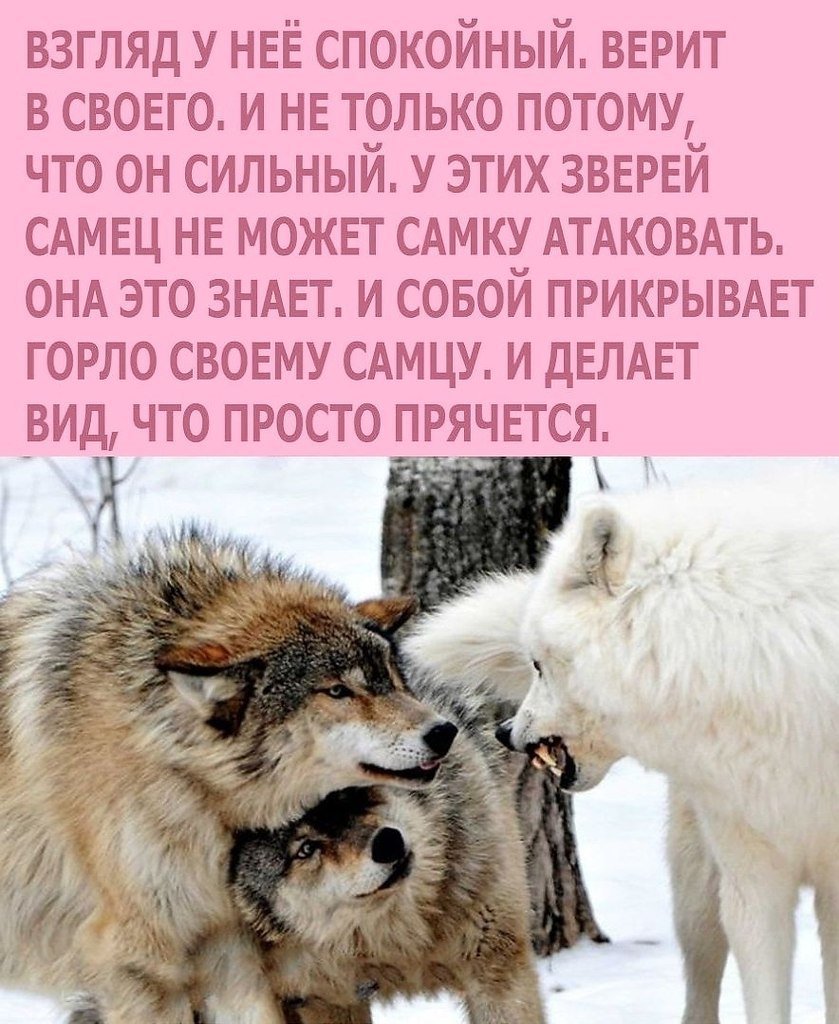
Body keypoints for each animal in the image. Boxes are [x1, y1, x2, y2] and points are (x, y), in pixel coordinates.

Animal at [225, 673, 545, 1024]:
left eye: (355, 796)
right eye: (306, 849)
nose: (388, 843)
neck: (396, 941)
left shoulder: (496, 965)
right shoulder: (326, 999)